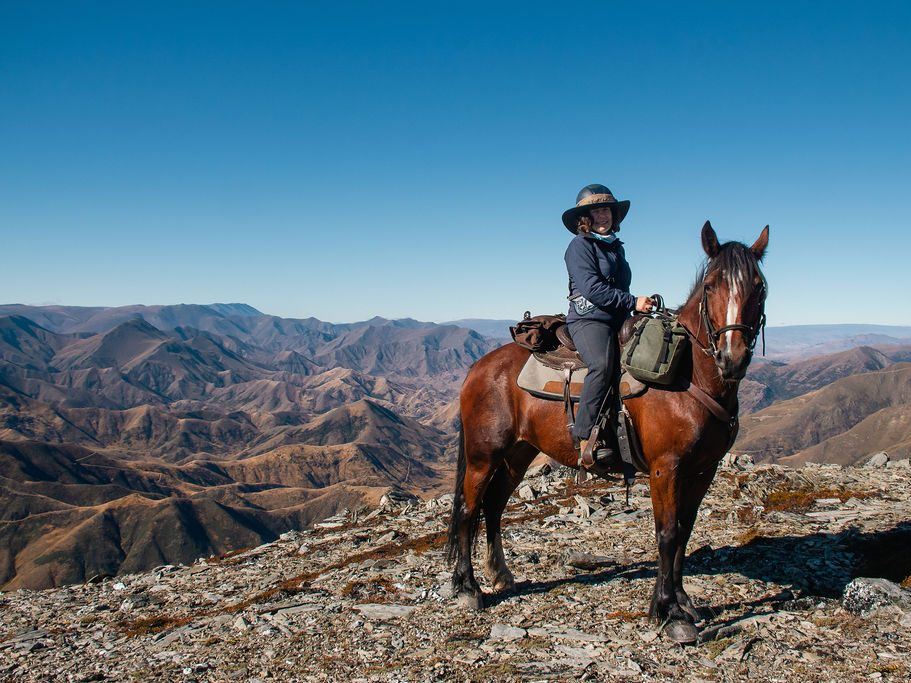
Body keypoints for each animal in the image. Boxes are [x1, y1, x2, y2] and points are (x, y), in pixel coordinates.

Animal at [446, 221, 769, 643]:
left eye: (759, 286)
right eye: (712, 285)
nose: (733, 358)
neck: (689, 377)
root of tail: (477, 368)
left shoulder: (703, 470)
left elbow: (685, 530)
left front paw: (682, 601)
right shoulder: (666, 469)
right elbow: (667, 533)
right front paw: (668, 613)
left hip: (518, 454)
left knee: (494, 505)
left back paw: (500, 574)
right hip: (484, 456)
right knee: (469, 509)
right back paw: (469, 588)